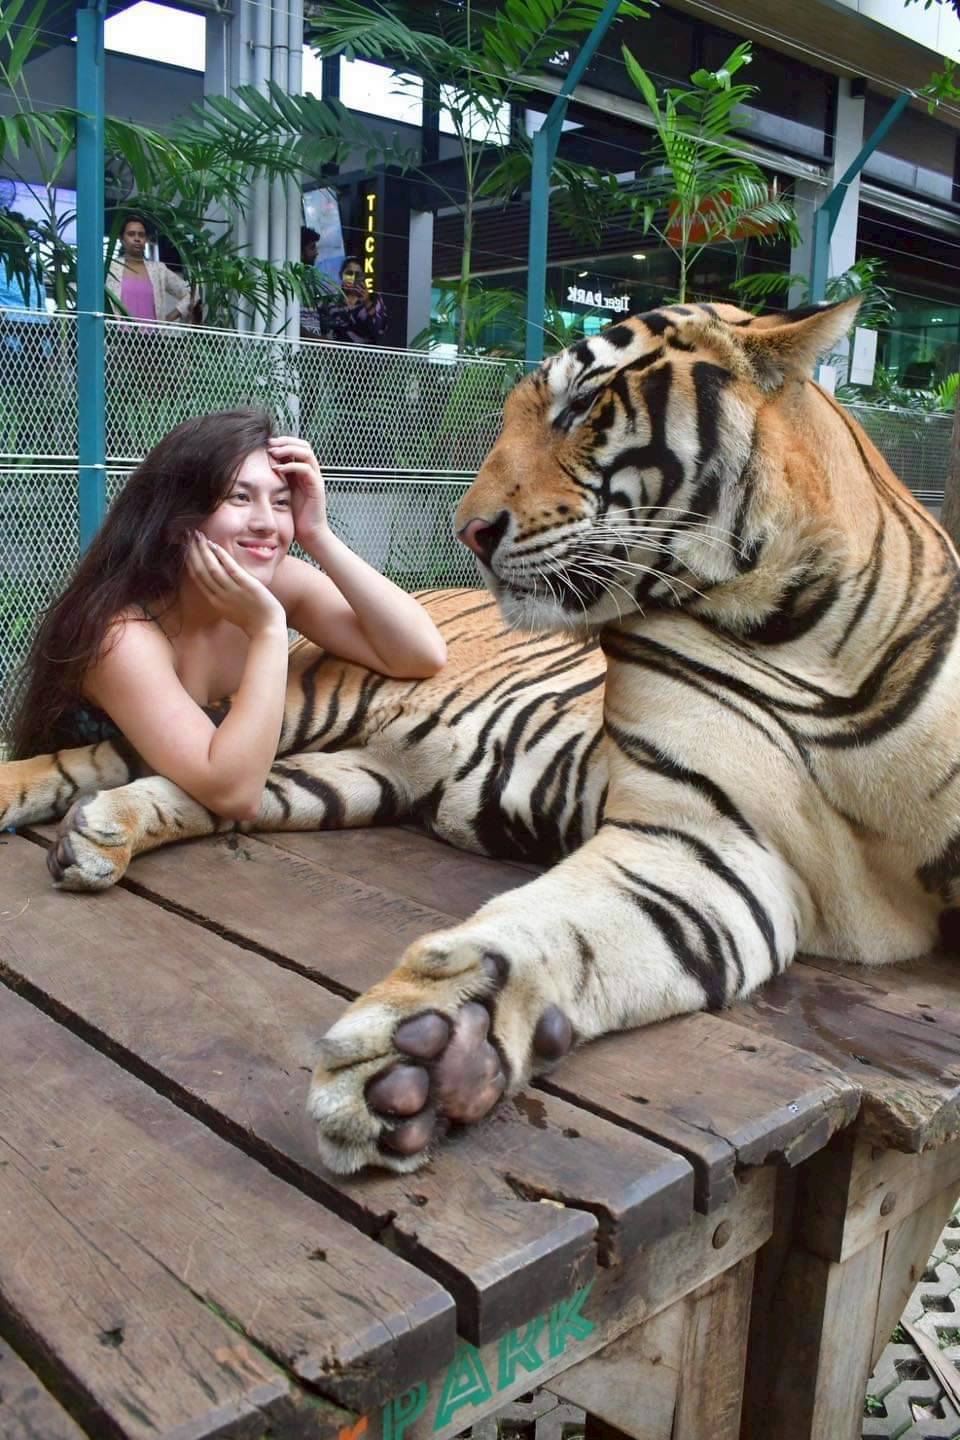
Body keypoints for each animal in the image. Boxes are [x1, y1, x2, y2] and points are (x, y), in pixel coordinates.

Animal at [3, 297, 959, 1176]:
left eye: (582, 406)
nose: (471, 531)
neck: (788, 626)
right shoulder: (700, 833)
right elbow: (550, 919)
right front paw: (424, 1054)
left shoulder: (714, 855)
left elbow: (566, 929)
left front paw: (440, 1058)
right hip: (315, 695)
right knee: (110, 753)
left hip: (351, 775)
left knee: (206, 785)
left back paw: (100, 834)